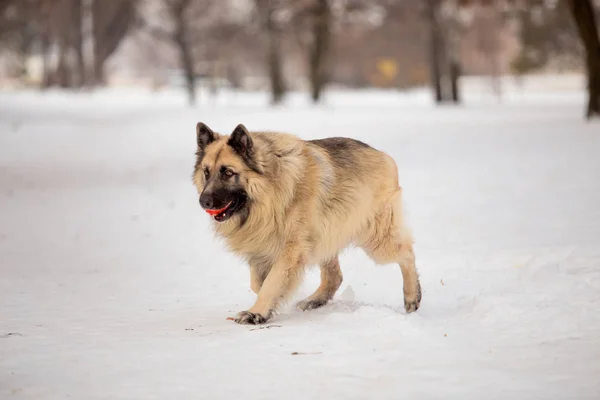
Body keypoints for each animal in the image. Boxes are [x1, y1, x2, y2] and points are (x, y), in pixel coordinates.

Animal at [193, 122, 422, 324]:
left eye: (228, 172)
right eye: (206, 172)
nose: (204, 202)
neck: (270, 193)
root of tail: (382, 154)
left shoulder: (291, 249)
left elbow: (272, 282)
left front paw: (256, 312)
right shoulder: (261, 248)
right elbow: (259, 283)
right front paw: (268, 306)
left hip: (376, 239)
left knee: (407, 253)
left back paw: (412, 297)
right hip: (325, 237)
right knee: (335, 277)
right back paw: (315, 300)